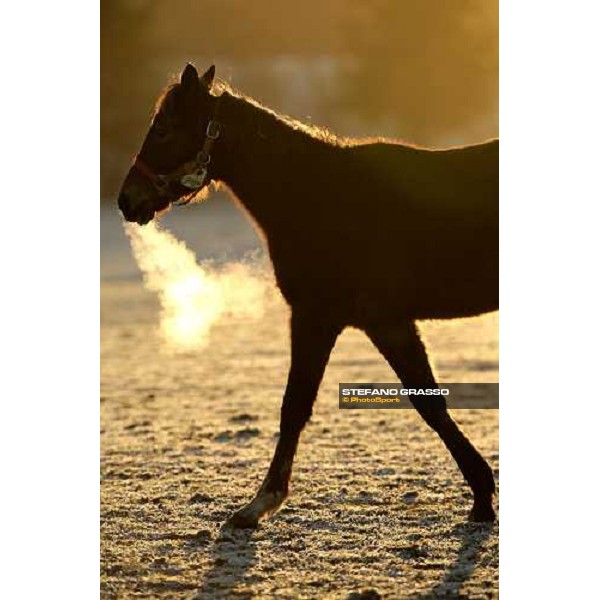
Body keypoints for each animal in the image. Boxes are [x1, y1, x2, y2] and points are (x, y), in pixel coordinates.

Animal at [116, 63, 496, 528]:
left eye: (165, 129)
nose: (126, 200)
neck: (319, 195)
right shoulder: (377, 322)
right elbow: (426, 401)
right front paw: (482, 494)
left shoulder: (328, 317)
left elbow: (298, 405)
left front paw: (259, 503)